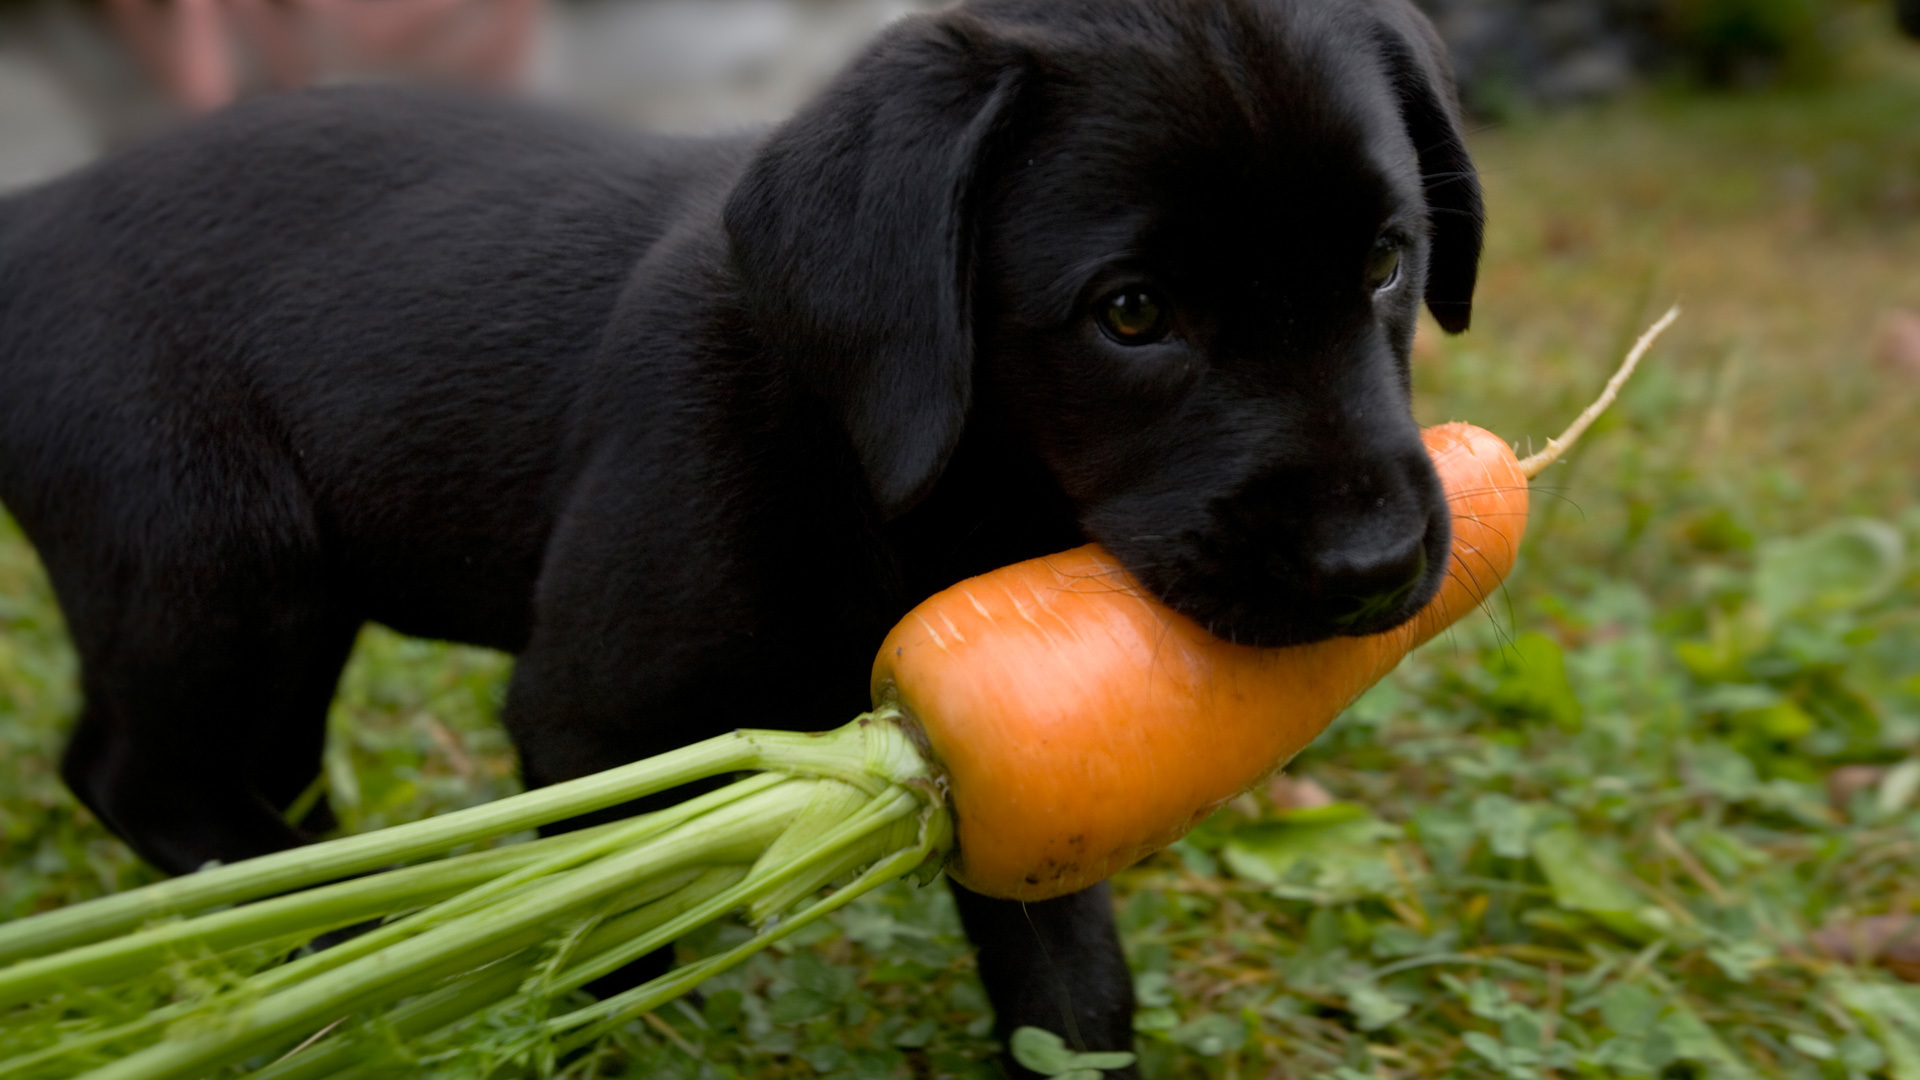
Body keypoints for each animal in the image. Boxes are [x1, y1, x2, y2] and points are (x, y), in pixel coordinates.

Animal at [0, 0, 1482, 1060]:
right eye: (1131, 314)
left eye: (1386, 263)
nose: (1373, 569)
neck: (887, 463)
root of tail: (34, 214)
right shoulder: (587, 721)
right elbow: (603, 940)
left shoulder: (1011, 756)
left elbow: (1071, 979)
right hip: (210, 550)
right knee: (141, 777)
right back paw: (350, 932)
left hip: (287, 591)